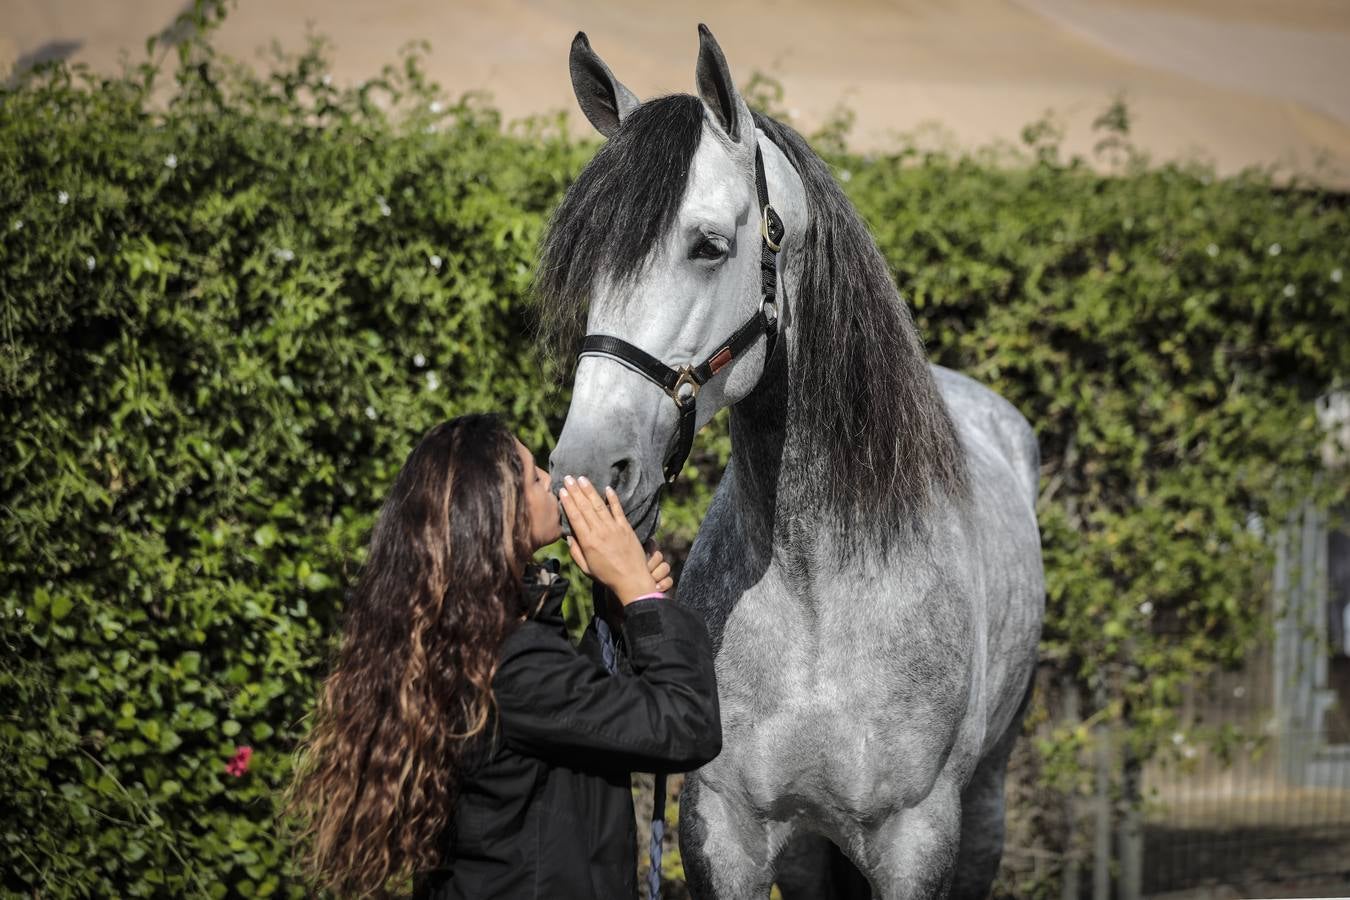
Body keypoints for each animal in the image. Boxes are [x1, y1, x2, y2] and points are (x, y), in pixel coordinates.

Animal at [537, 24, 1042, 895]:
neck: (817, 591)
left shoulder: (917, 839)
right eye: (591, 254)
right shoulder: (725, 833)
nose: (586, 471)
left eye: (709, 246)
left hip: (985, 802)